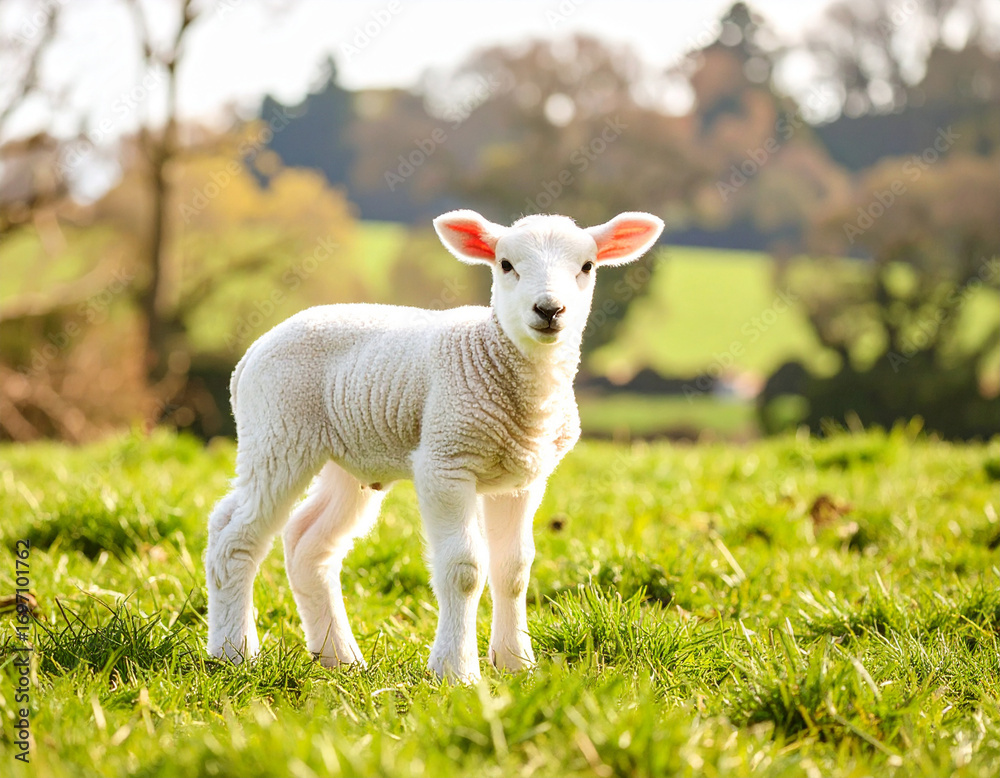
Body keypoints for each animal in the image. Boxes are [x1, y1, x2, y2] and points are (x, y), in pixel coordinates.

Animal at [205, 208, 664, 682]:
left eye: (587, 266)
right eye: (506, 264)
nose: (549, 310)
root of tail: (252, 353)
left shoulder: (522, 478)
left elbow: (514, 568)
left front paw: (516, 663)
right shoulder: (446, 462)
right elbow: (464, 570)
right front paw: (456, 671)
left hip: (347, 454)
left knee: (307, 543)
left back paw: (340, 657)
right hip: (277, 433)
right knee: (233, 534)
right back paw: (235, 652)